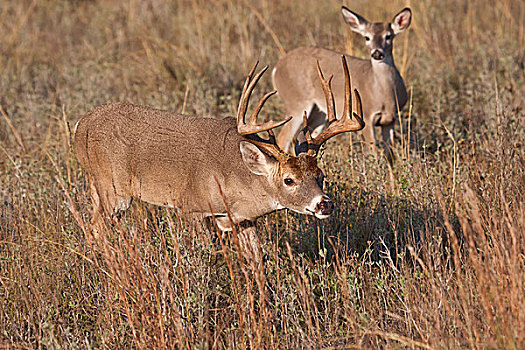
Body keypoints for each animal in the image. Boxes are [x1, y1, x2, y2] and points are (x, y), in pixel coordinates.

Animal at [71, 56, 362, 260]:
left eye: (320, 175)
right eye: (289, 180)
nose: (324, 204)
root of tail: (80, 125)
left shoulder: (243, 220)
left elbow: (257, 260)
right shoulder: (193, 208)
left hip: (98, 186)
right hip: (113, 189)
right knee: (97, 228)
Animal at [272, 6, 412, 163]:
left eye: (388, 36)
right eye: (367, 37)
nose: (377, 53)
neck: (384, 95)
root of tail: (276, 68)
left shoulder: (391, 120)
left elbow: (390, 156)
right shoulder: (366, 117)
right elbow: (374, 153)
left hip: (319, 114)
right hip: (296, 103)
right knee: (283, 138)